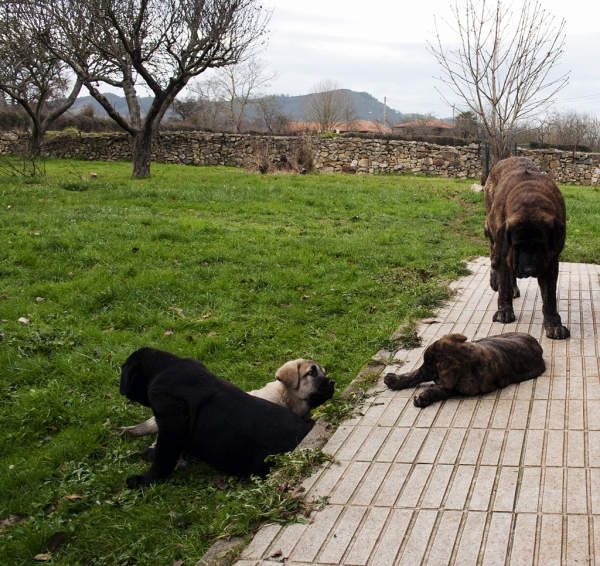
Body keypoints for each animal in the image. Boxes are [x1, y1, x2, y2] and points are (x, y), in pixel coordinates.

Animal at [384, 332, 544, 408]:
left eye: (431, 369)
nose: (424, 370)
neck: (465, 357)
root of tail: (538, 346)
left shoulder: (455, 388)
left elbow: (438, 390)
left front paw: (423, 397)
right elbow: (414, 375)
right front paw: (395, 379)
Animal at [482, 158, 572, 340]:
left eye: (540, 245)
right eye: (518, 246)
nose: (529, 269)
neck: (530, 199)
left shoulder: (550, 261)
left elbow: (549, 297)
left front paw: (553, 324)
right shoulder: (506, 252)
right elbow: (504, 285)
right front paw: (504, 311)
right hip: (494, 237)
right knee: (494, 259)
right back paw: (496, 281)